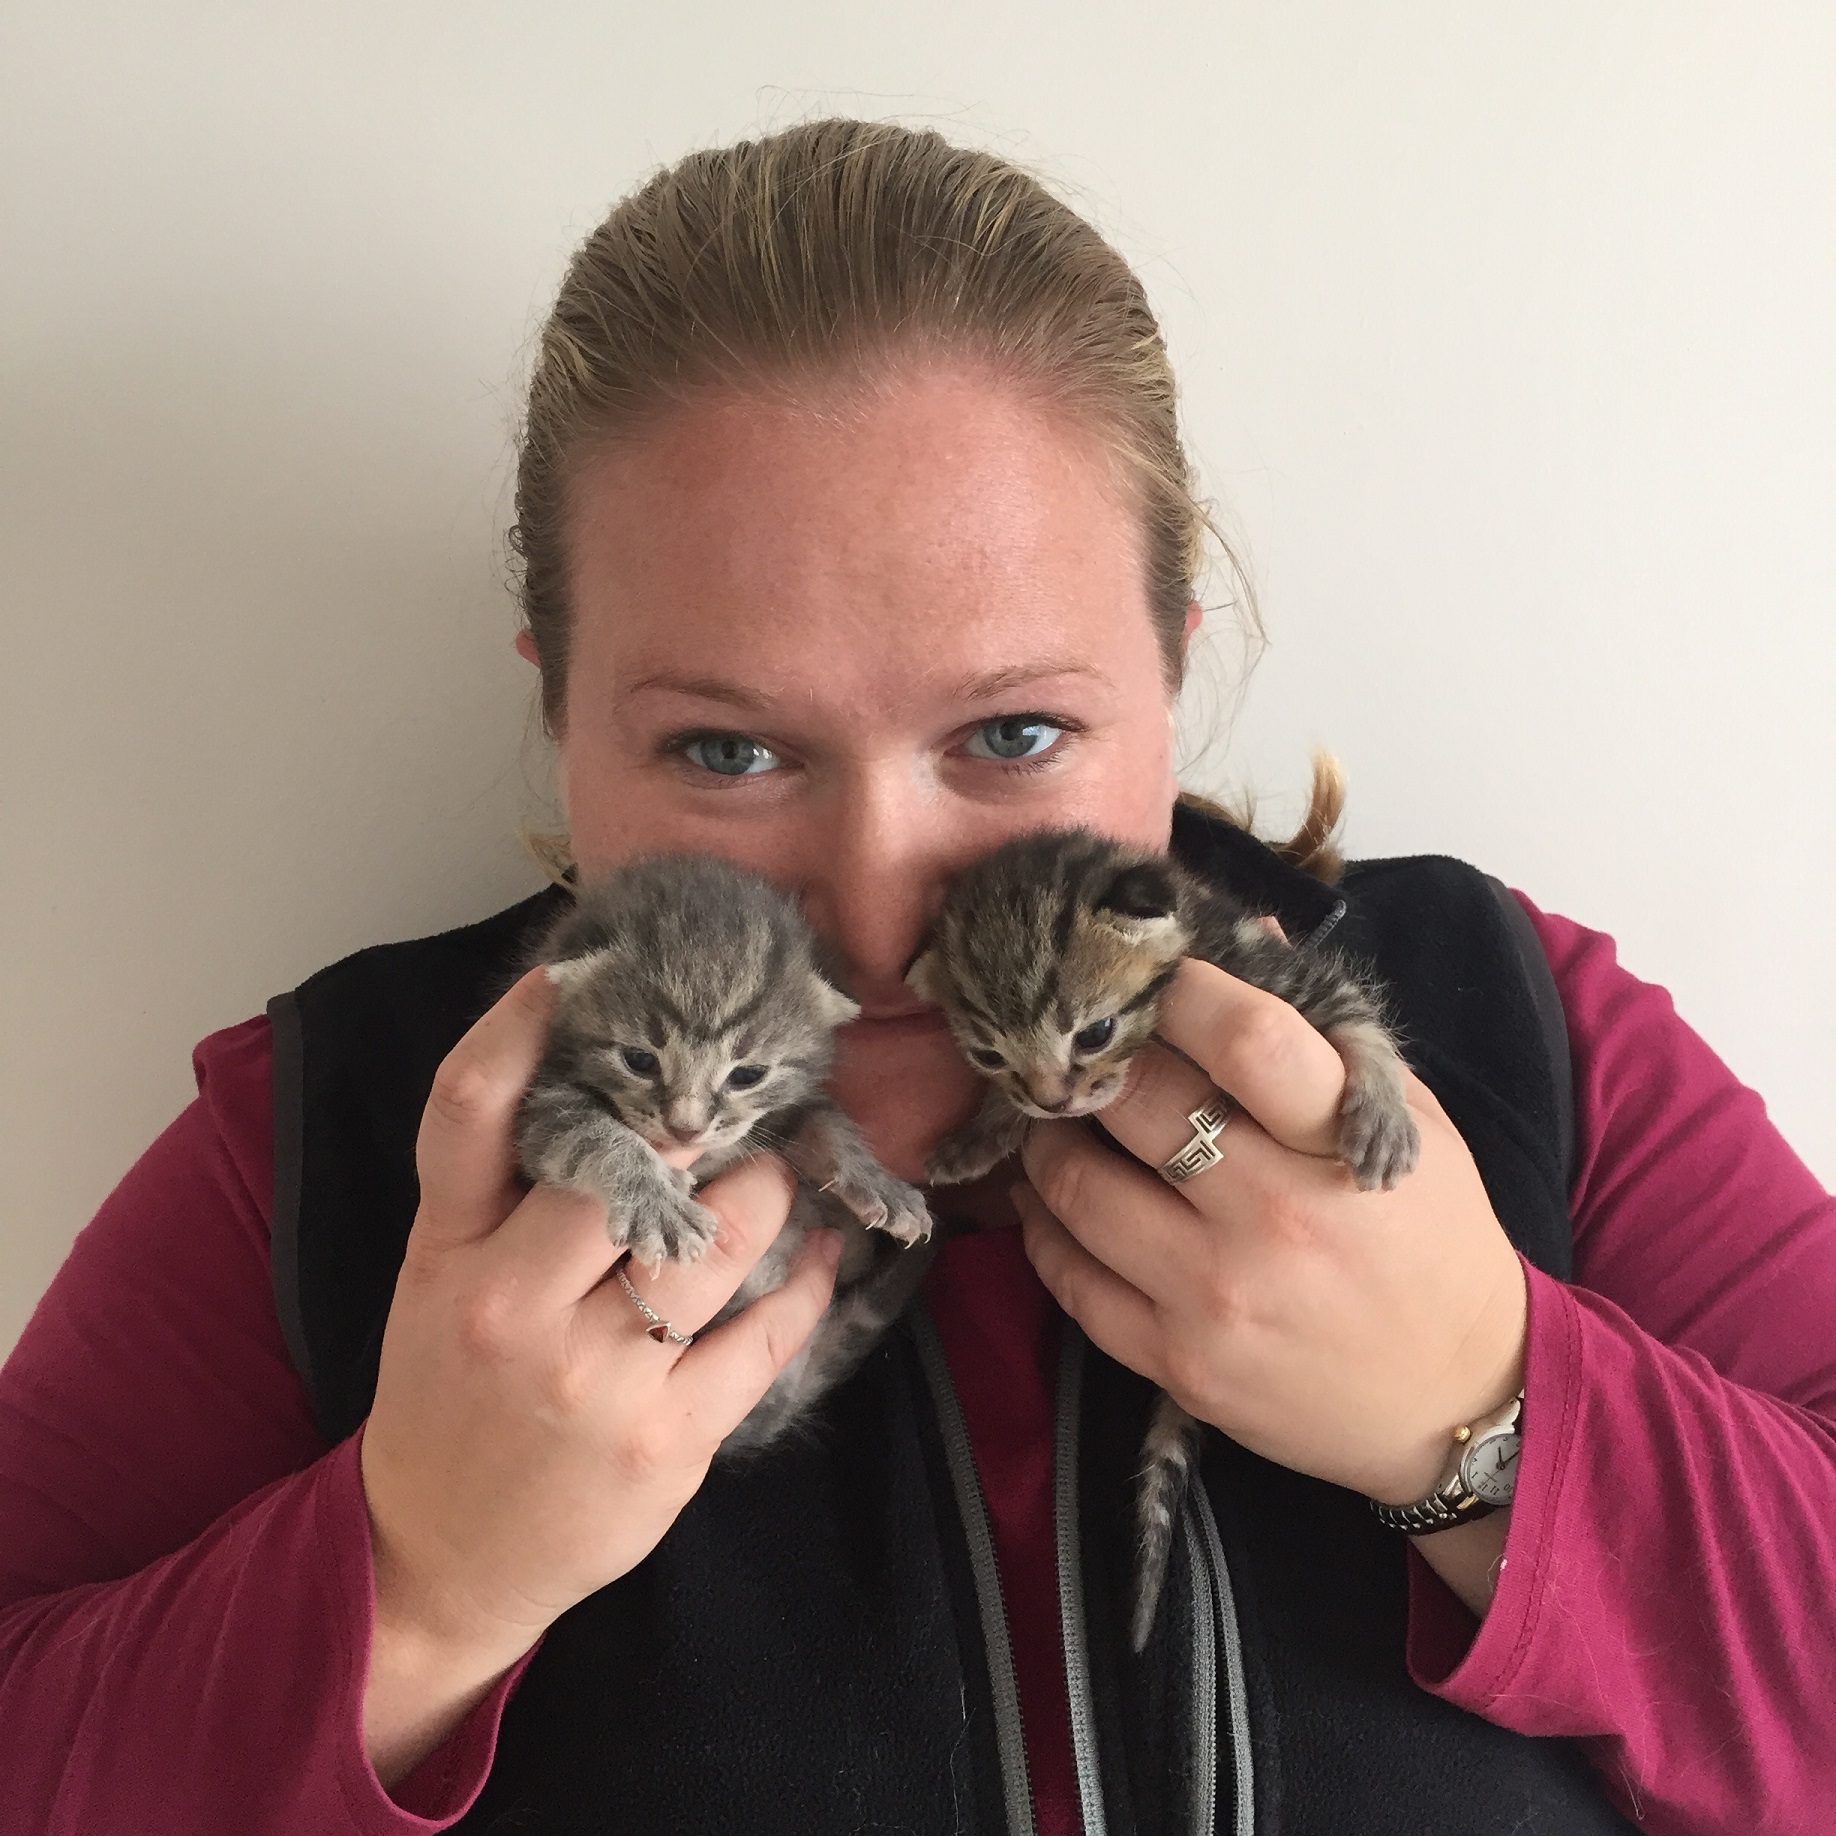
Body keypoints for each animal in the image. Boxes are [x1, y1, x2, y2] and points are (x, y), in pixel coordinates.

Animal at [514, 853, 936, 1455]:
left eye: (747, 1074)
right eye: (639, 1060)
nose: (686, 1129)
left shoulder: (777, 1117)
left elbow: (827, 1121)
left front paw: (877, 1183)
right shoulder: (538, 1111)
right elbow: (594, 1136)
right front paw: (656, 1204)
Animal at [905, 826, 1419, 1650]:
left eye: (1096, 1032)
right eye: (988, 1055)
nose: (1052, 1099)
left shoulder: (1264, 967)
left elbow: (1355, 1017)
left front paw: (1382, 1106)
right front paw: (982, 1133)